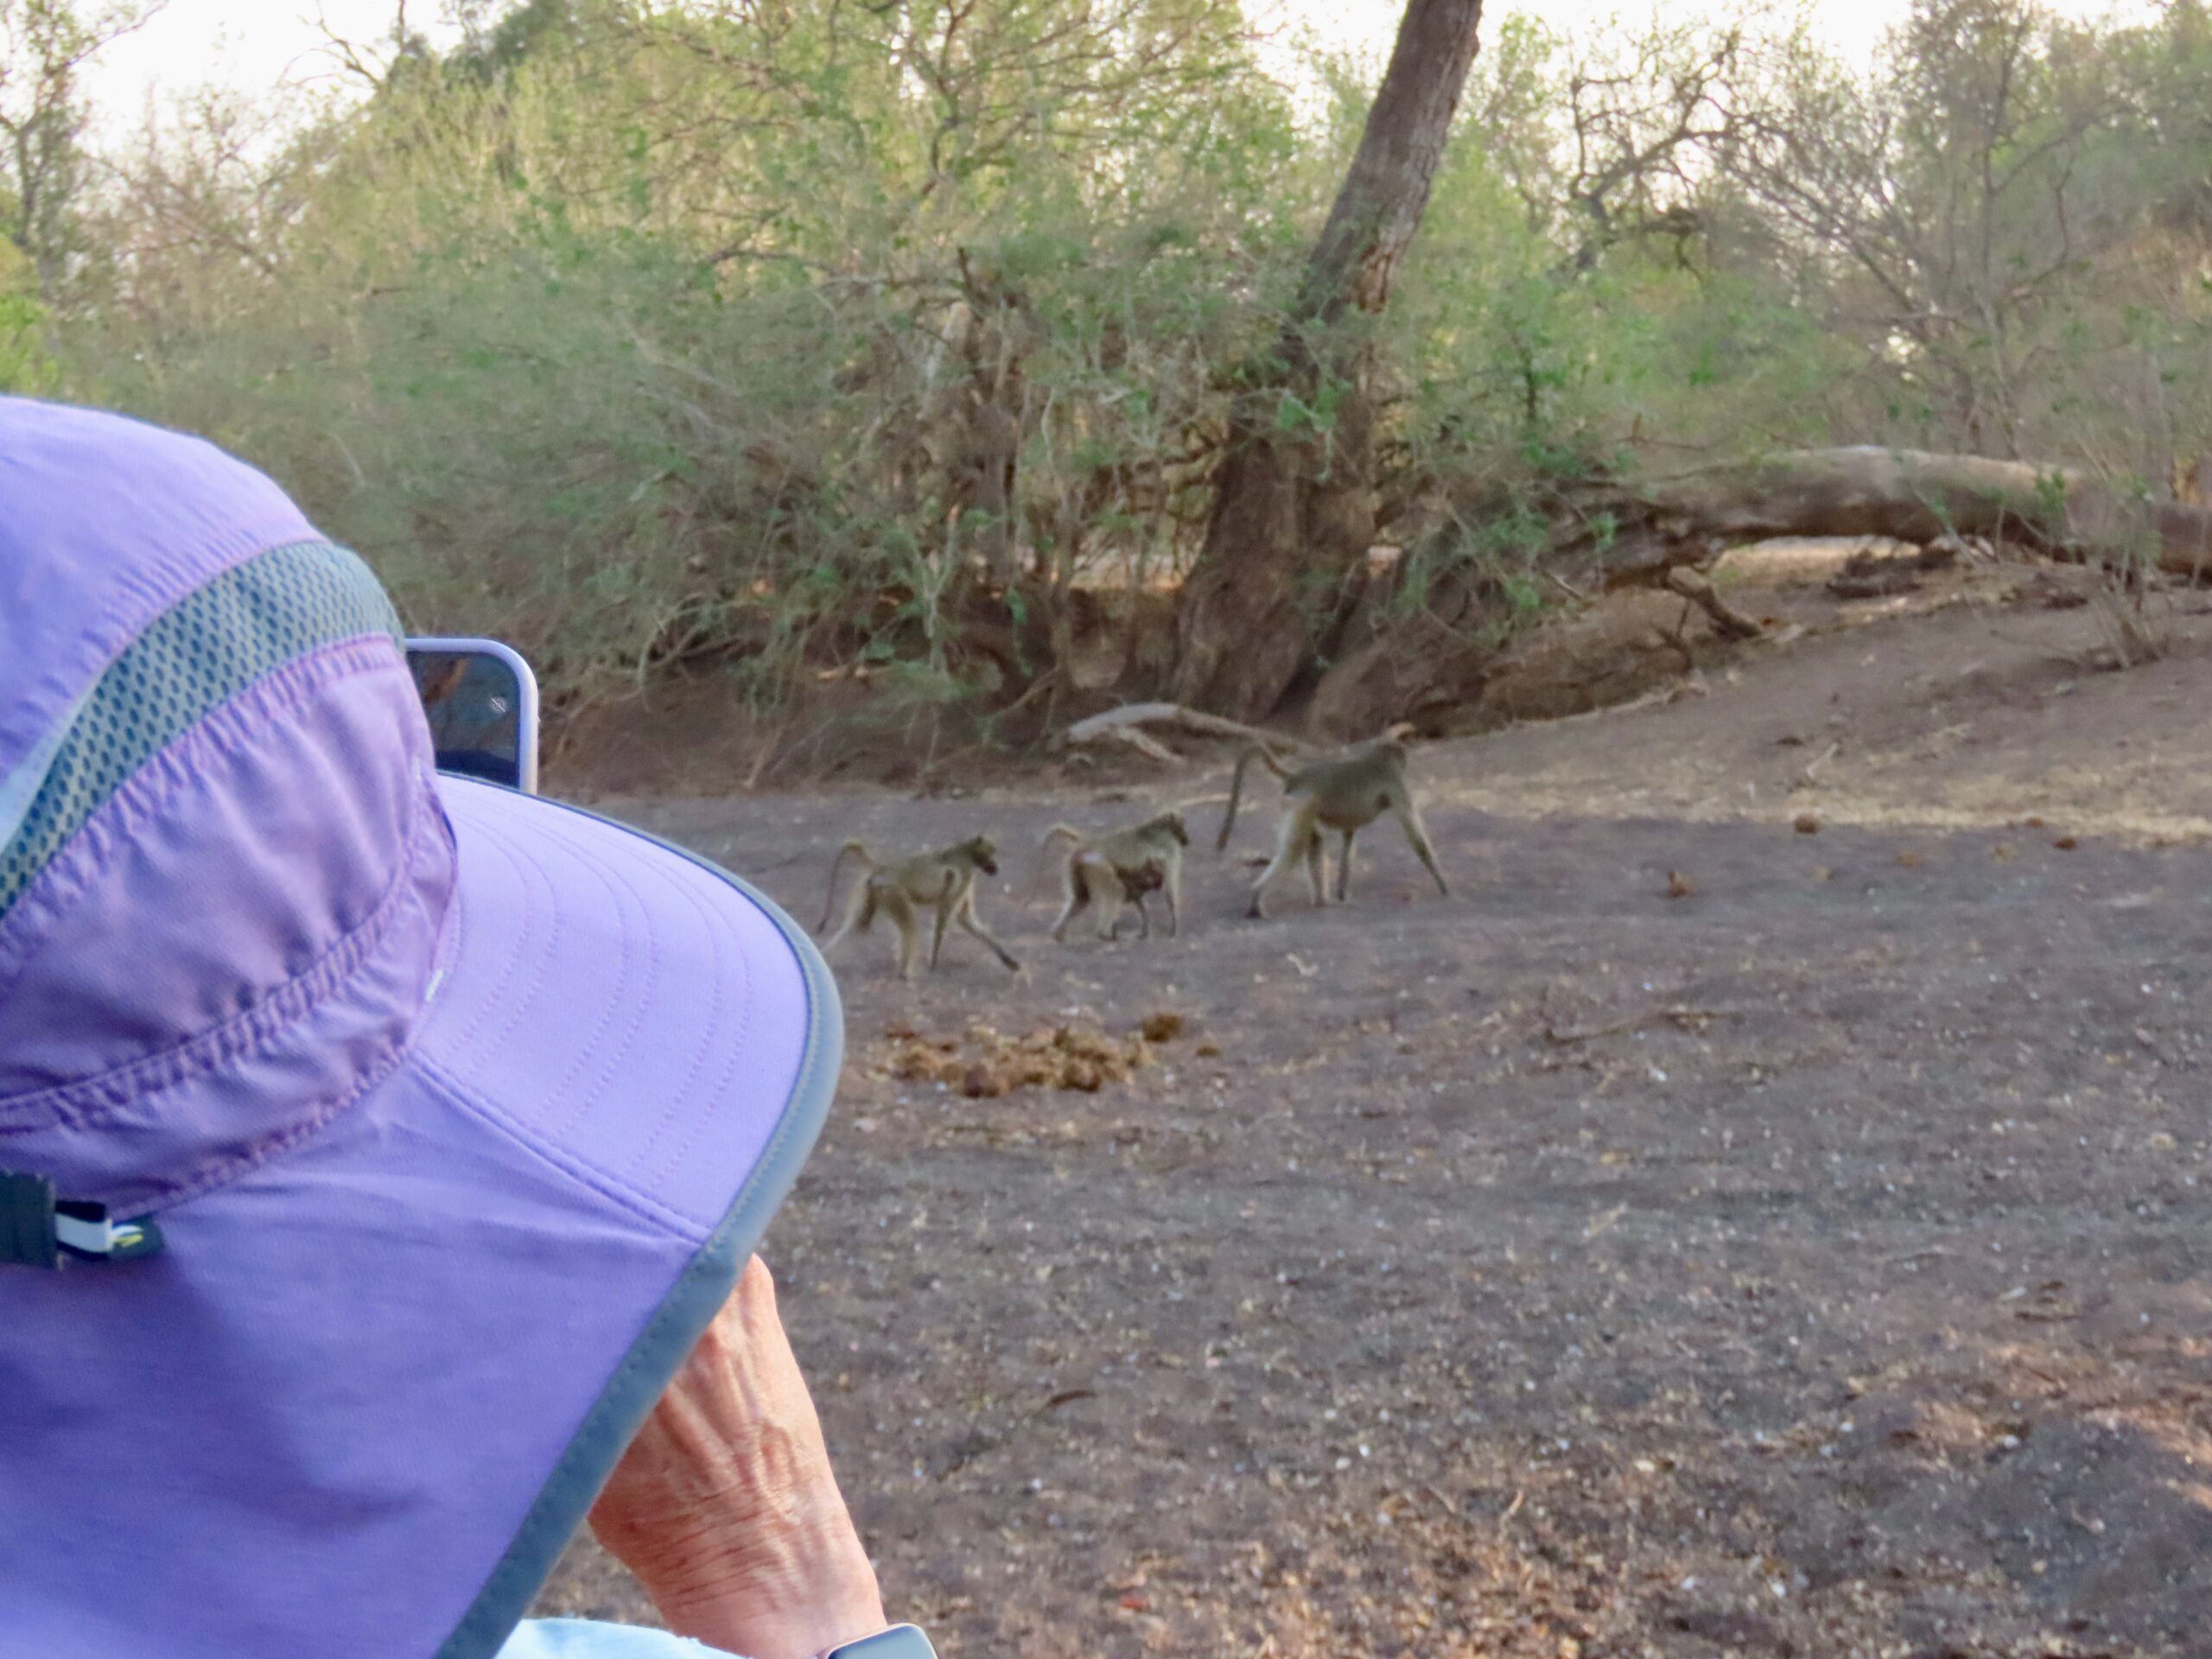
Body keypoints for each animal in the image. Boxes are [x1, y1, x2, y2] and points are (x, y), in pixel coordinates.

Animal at [817, 835, 1021, 977]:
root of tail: (885, 867)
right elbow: (945, 916)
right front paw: (933, 963)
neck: (966, 851)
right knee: (909, 928)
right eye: (991, 852)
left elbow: (964, 919)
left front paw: (1008, 960)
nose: (996, 867)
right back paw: (904, 974)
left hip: (876, 892)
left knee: (858, 927)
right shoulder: (964, 873)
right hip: (892, 893)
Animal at [1041, 809, 1190, 944]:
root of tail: (1088, 842)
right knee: (1116, 892)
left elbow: (1138, 896)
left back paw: (1058, 934)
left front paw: (1146, 930)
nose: (1187, 840)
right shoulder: (1172, 850)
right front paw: (1174, 930)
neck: (1158, 827)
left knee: (1081, 899)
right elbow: (1170, 889)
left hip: (1075, 866)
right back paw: (1104, 935)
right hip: (1097, 866)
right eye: (1182, 825)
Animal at [1217, 736, 1449, 919]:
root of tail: (1296, 777)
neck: (1379, 759)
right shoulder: (1396, 784)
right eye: (1401, 756)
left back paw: (1322, 902)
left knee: (1313, 844)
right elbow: (1414, 834)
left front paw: (1342, 893)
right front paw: (1443, 885)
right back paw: (1257, 898)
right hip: (1303, 803)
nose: (1406, 761)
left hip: (1302, 807)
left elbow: (1348, 837)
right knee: (1295, 849)